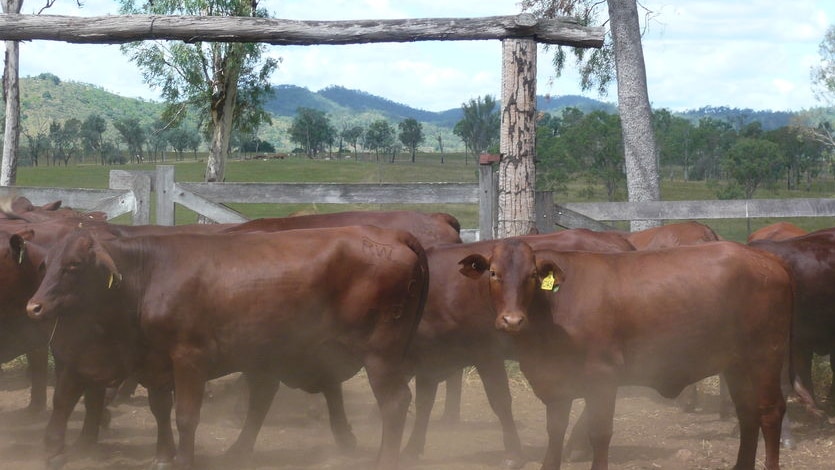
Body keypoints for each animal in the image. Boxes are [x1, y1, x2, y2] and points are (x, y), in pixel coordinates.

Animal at [26, 226, 432, 468]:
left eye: (74, 265)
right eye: (45, 264)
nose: (34, 307)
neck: (149, 274)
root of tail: (392, 233)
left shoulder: (189, 357)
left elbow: (186, 415)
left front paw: (182, 460)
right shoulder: (156, 361)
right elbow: (160, 410)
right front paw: (163, 456)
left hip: (380, 355)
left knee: (395, 404)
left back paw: (385, 460)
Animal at [460, 241, 812, 468]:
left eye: (532, 276)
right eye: (493, 273)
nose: (512, 320)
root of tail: (766, 258)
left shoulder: (602, 378)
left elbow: (599, 434)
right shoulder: (556, 383)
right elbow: (555, 434)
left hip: (765, 356)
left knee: (770, 412)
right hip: (736, 364)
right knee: (747, 413)